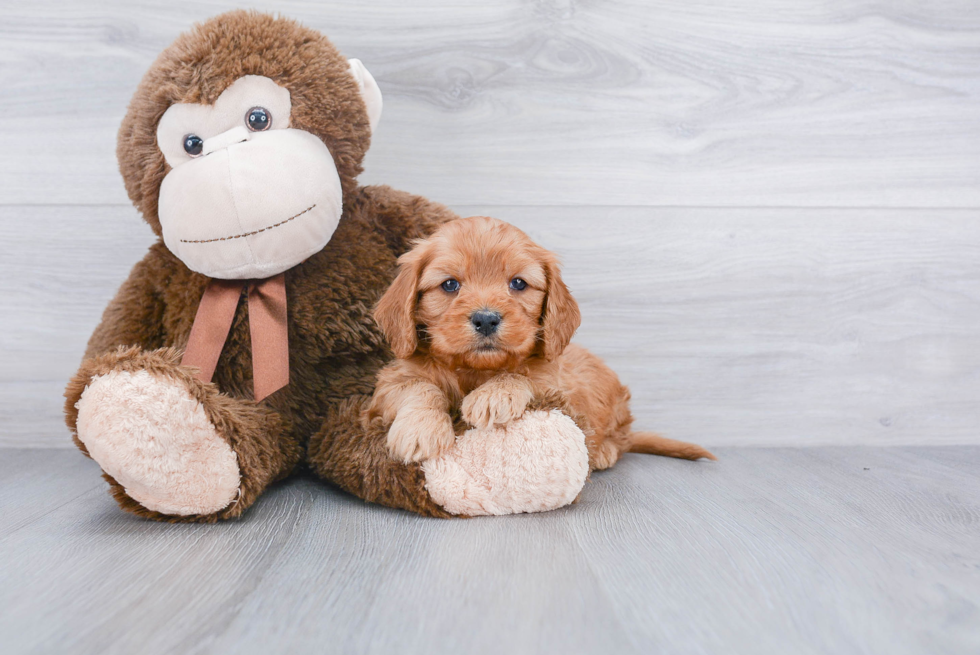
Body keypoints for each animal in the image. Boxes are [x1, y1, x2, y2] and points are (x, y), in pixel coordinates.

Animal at [368, 218, 712, 468]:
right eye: (450, 284)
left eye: (518, 283)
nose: (486, 319)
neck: (475, 370)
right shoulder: (389, 384)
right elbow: (421, 387)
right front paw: (421, 429)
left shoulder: (557, 385)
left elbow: (526, 375)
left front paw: (494, 394)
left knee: (622, 438)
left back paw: (605, 452)